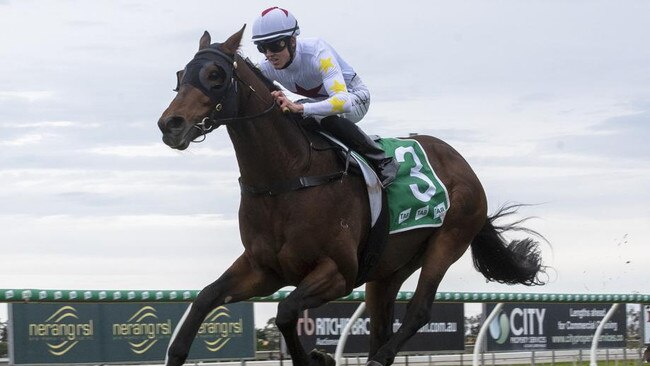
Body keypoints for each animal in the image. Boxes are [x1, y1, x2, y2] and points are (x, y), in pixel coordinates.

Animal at [156, 26, 540, 366]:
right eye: (181, 74)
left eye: (215, 75)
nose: (170, 124)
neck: (287, 177)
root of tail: (464, 166)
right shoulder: (264, 269)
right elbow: (205, 298)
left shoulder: (338, 272)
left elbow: (286, 311)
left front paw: (317, 357)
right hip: (388, 268)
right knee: (382, 321)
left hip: (448, 240)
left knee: (418, 312)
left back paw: (380, 358)